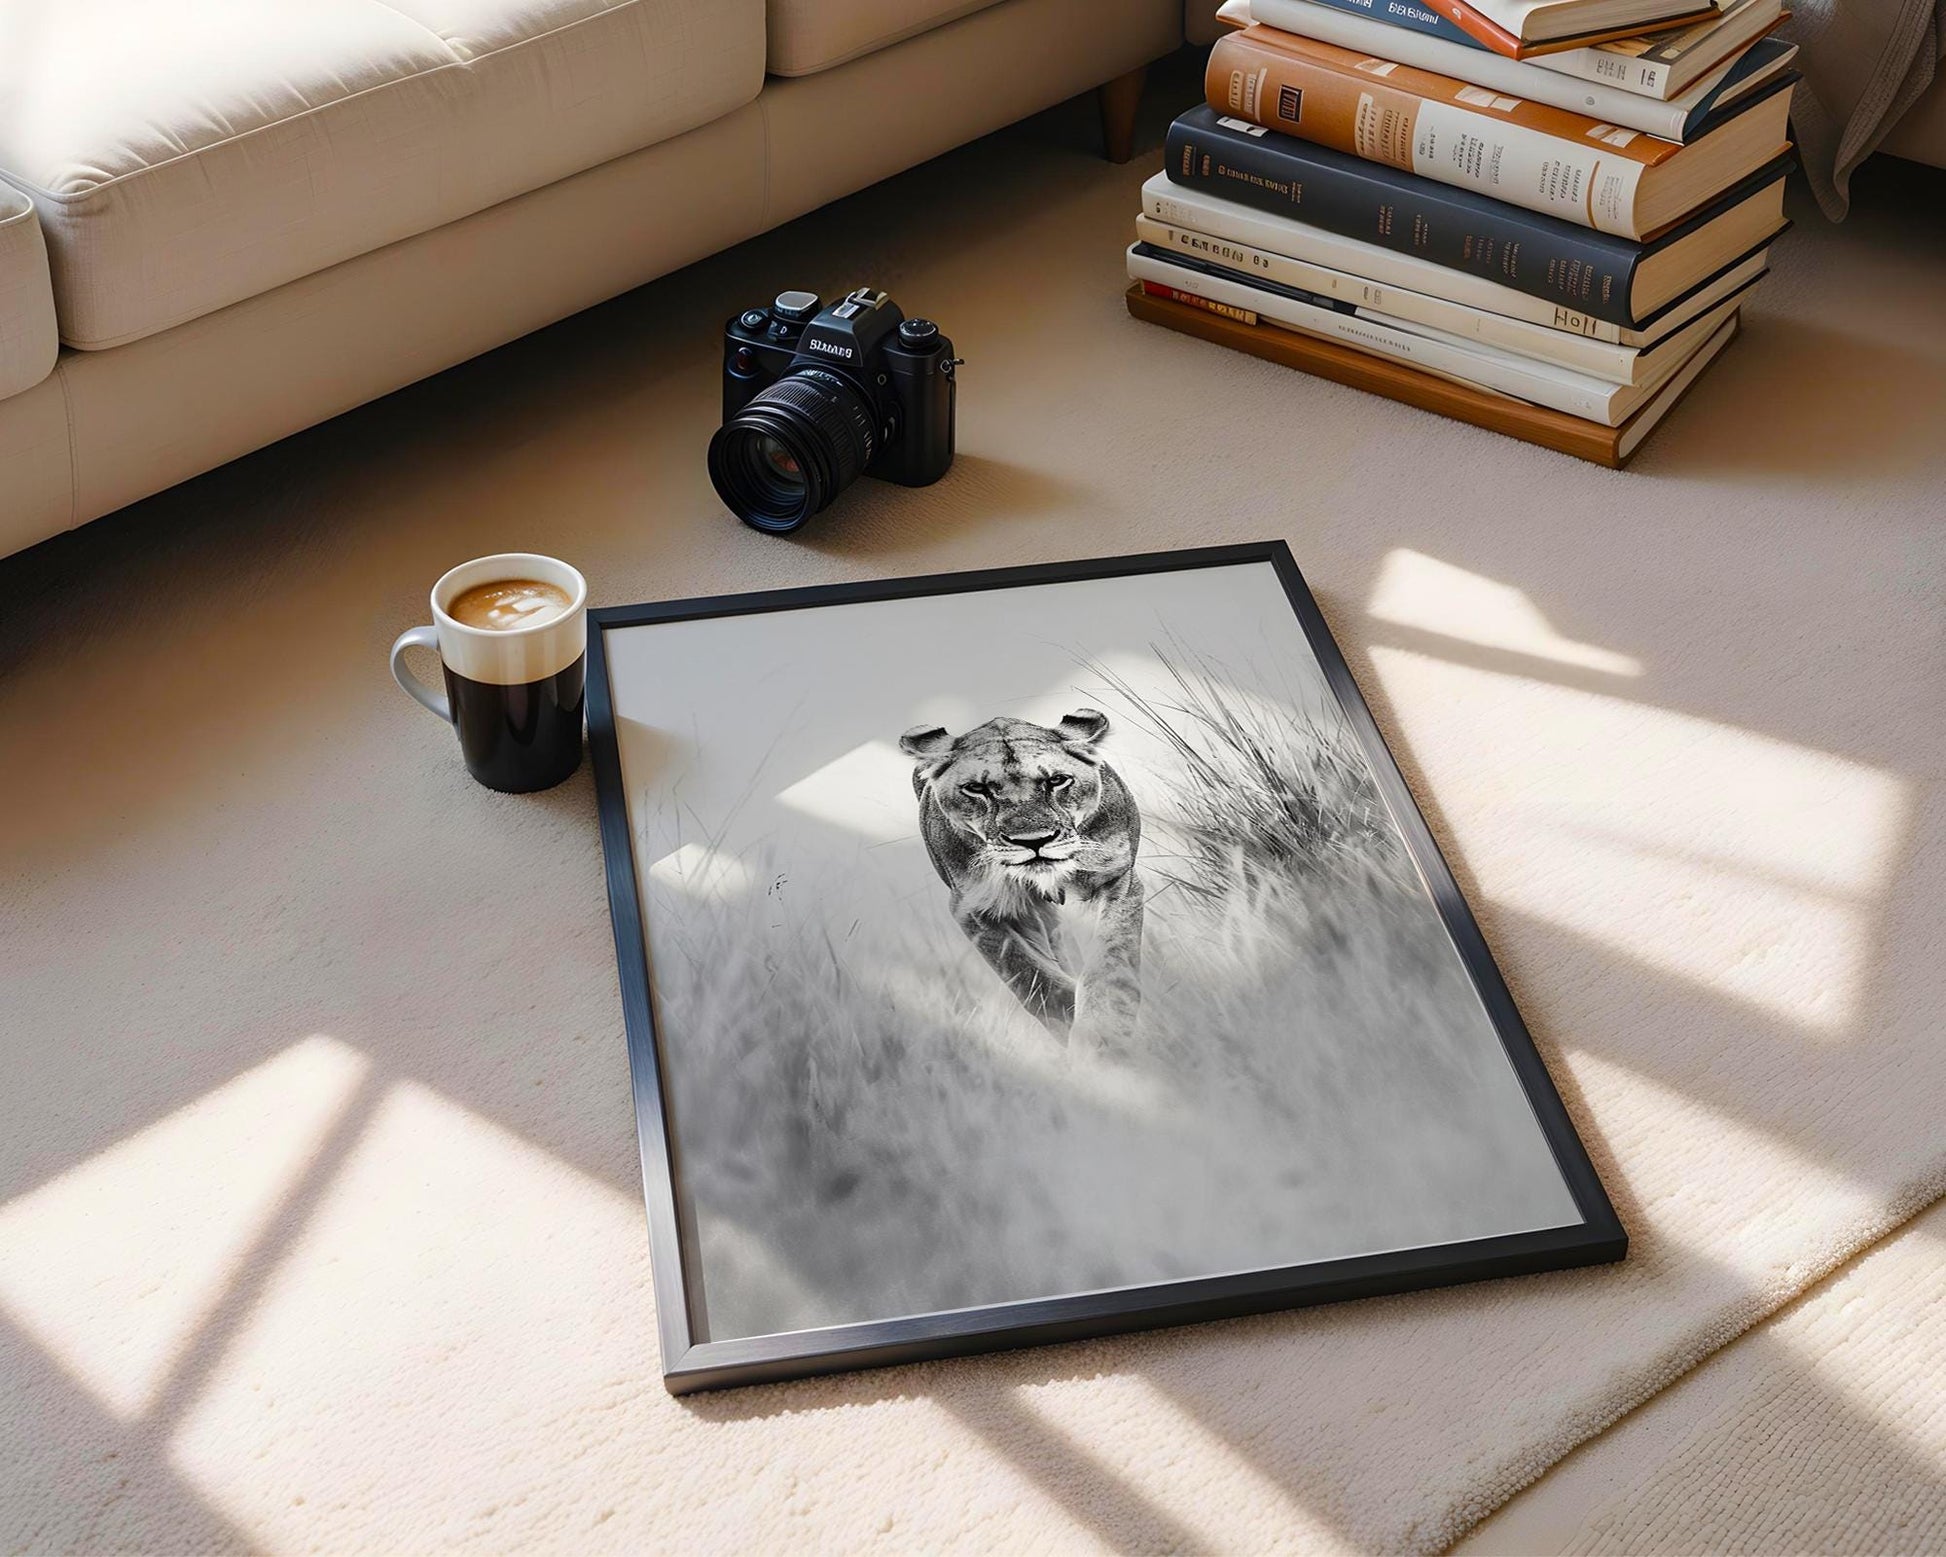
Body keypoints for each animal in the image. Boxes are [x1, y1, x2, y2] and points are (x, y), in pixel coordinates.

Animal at [899, 709, 1143, 1046]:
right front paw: (1072, 1026)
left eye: (1057, 780)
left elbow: (1111, 956)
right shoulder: (976, 909)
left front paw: (1104, 1030)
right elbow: (1031, 976)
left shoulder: (1117, 877)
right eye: (976, 788)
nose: (1033, 841)